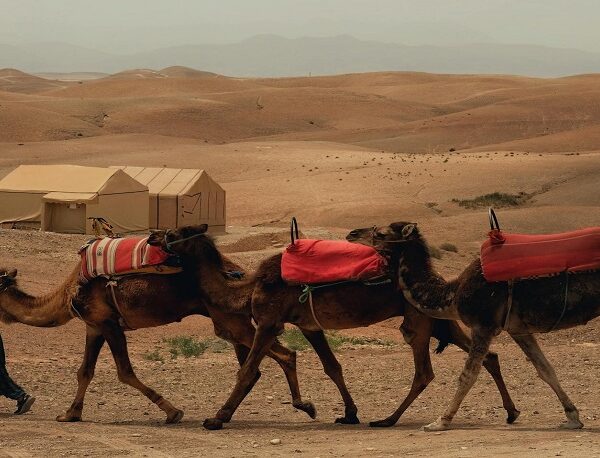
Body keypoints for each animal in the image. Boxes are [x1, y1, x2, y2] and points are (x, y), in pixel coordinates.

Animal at [0, 236, 314, 422]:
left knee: (283, 355)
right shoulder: (94, 326)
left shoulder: (108, 324)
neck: (70, 292)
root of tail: (240, 273)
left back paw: (300, 406)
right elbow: (84, 371)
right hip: (228, 321)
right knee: (258, 362)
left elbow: (125, 372)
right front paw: (70, 414)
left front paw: (173, 411)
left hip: (230, 320)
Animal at [157, 224, 516, 432]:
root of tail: (436, 276)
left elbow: (246, 371)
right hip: (441, 321)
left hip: (418, 320)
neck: (248, 288)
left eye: (172, 235)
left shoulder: (270, 321)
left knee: (425, 372)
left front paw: (218, 417)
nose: (152, 238)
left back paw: (388, 419)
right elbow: (332, 366)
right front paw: (346, 413)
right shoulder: (309, 325)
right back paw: (512, 413)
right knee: (488, 356)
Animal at [350, 223, 600, 432]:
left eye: (381, 233)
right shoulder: (518, 329)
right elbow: (545, 369)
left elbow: (468, 374)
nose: (352, 233)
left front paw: (440, 422)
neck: (452, 294)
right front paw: (572, 418)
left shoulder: (483, 324)